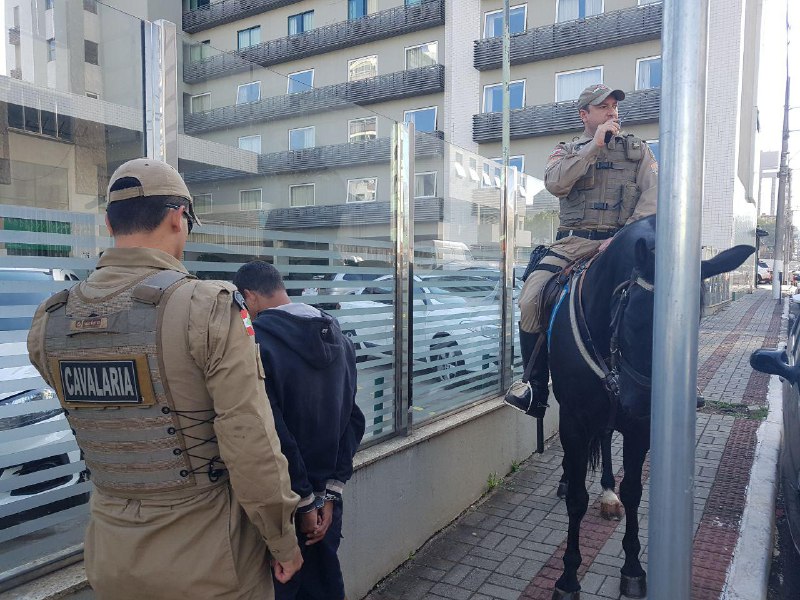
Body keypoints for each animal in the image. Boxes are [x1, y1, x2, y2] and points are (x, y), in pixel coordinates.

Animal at [548, 213, 752, 596]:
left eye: (693, 322)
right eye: (634, 319)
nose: (644, 404)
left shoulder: (638, 429)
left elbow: (633, 492)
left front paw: (632, 567)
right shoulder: (574, 419)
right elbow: (577, 500)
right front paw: (567, 576)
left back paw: (607, 493)